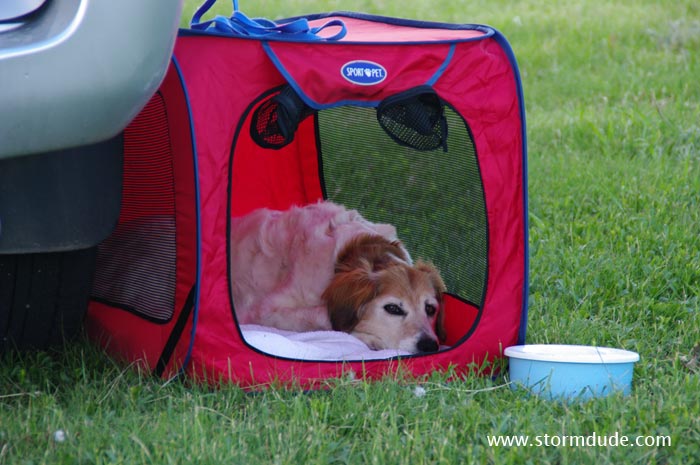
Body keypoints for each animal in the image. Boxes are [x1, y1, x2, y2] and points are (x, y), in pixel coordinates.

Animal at [229, 201, 446, 353]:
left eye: (430, 308)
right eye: (392, 308)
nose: (429, 346)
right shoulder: (264, 310)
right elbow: (326, 317)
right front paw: (368, 337)